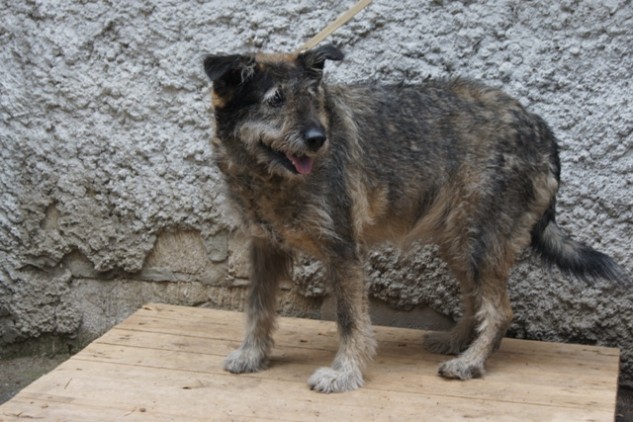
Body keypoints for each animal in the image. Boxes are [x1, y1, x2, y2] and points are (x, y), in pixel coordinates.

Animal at [202, 44, 627, 393]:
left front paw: (344, 373)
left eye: (313, 98)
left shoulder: (344, 251)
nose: (318, 139)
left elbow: (350, 320)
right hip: (458, 243)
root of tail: (540, 126)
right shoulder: (263, 247)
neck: (269, 178)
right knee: (476, 298)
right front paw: (252, 355)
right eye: (275, 100)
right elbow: (257, 308)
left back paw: (470, 362)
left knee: (501, 311)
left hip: (480, 242)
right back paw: (456, 340)